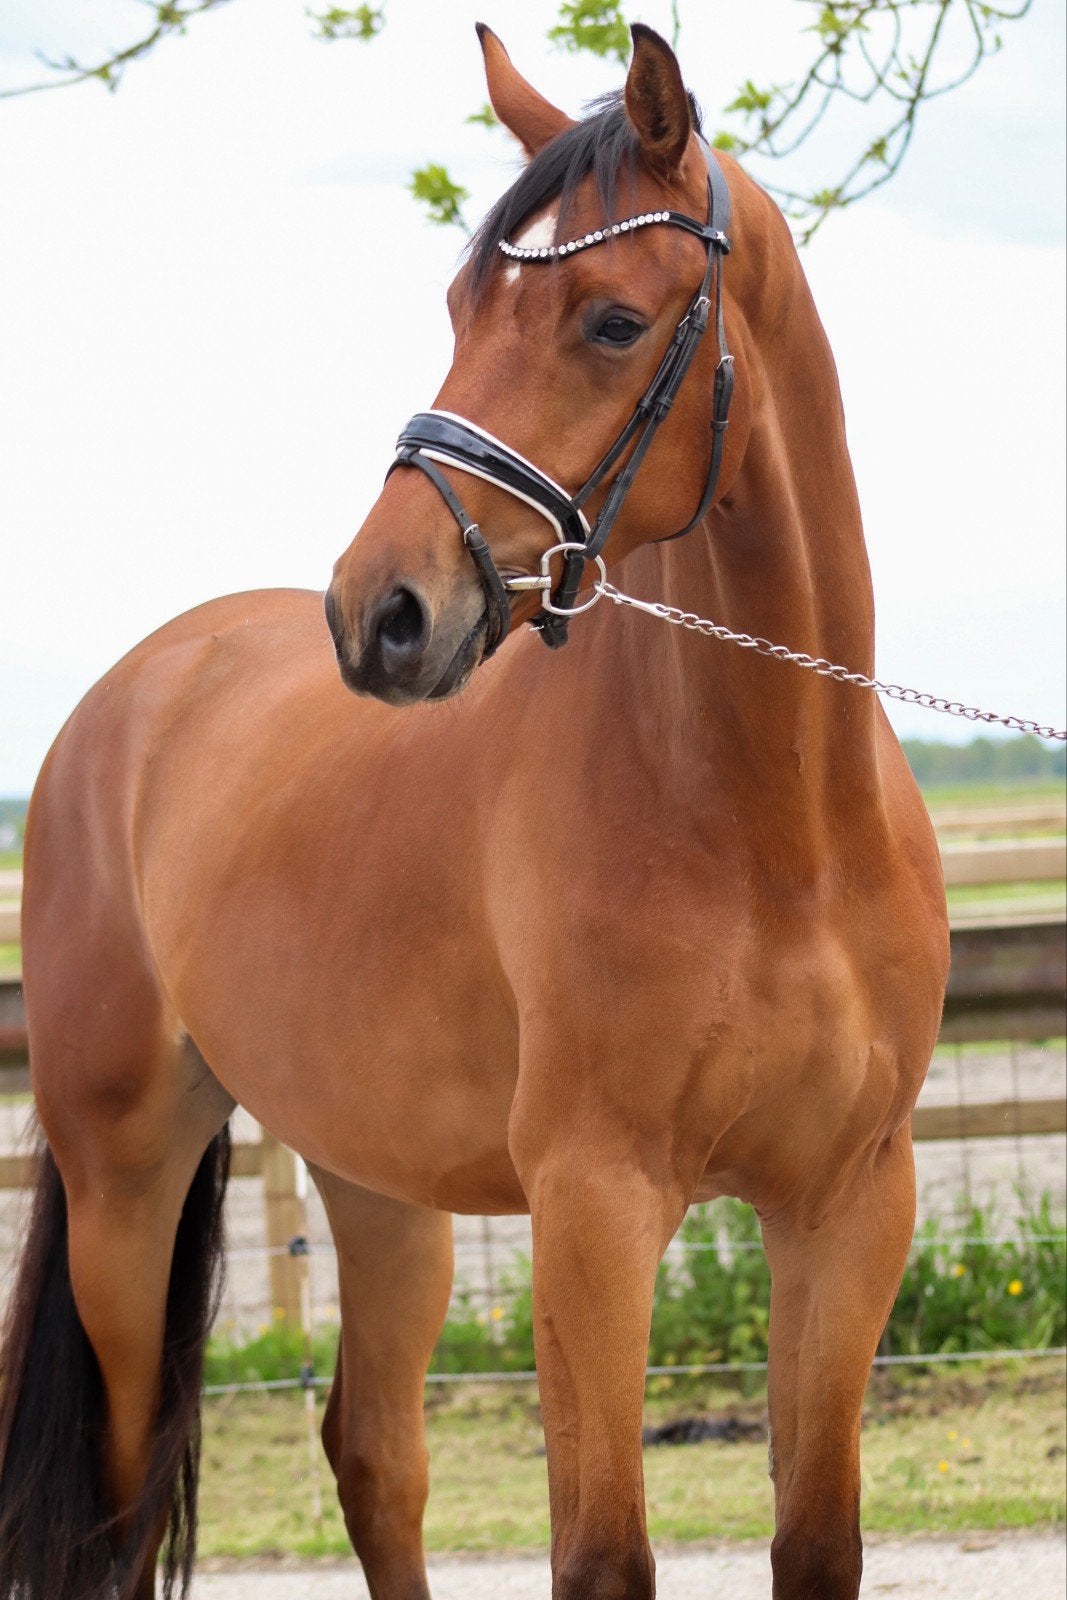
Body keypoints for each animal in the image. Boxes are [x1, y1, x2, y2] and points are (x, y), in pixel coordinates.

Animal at [0, 22, 949, 1600]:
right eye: (459, 304)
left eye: (613, 323)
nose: (377, 613)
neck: (776, 823)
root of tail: (125, 700)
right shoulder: (594, 1207)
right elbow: (601, 1553)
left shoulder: (846, 1207)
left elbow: (815, 1540)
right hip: (123, 1180)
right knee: (122, 1504)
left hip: (379, 1188)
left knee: (375, 1459)